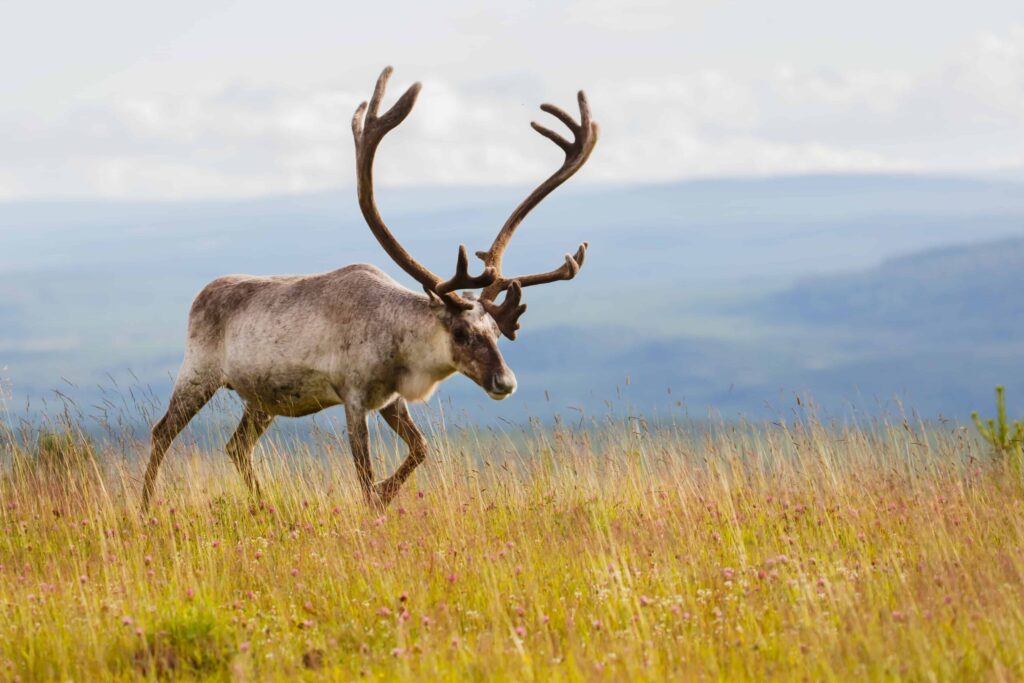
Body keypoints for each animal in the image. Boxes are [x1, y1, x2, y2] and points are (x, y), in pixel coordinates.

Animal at [139, 66, 599, 512]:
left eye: (497, 333)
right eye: (460, 332)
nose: (505, 382)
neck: (400, 342)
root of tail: (202, 293)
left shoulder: (391, 399)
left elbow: (421, 449)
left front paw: (386, 494)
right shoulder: (354, 396)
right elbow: (363, 473)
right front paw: (375, 501)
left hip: (264, 400)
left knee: (236, 447)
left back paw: (262, 502)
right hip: (198, 373)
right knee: (162, 432)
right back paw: (145, 507)